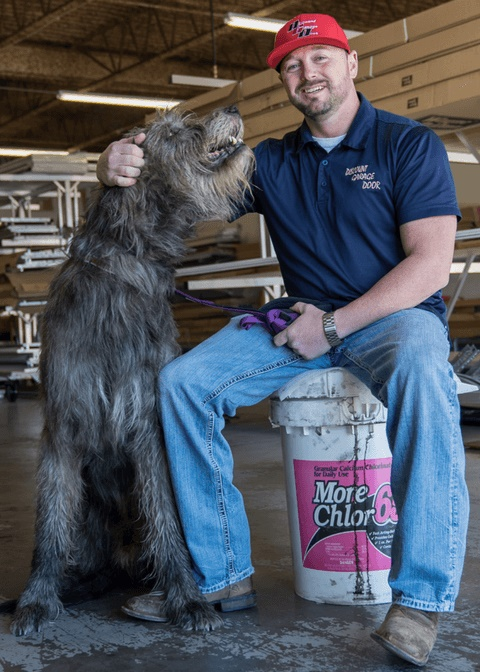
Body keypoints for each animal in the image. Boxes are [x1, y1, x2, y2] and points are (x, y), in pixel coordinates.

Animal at [9, 103, 255, 636]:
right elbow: (49, 521)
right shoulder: (62, 426)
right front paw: (37, 598)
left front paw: (185, 597)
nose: (232, 107)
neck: (127, 266)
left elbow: (165, 512)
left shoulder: (147, 423)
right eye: (177, 130)